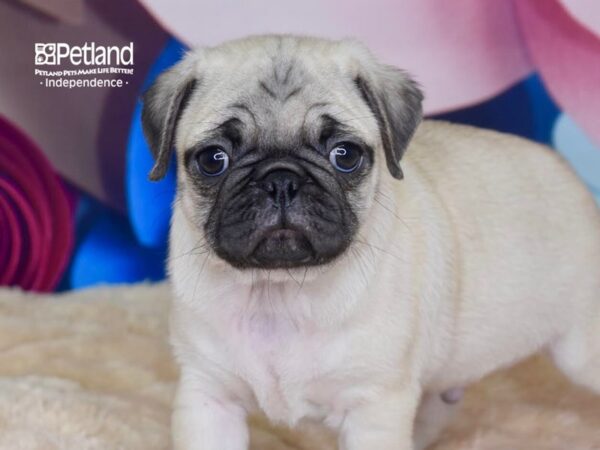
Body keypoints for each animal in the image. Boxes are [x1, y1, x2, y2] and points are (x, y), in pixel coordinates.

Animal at [142, 35, 600, 450]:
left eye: (345, 155)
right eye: (213, 159)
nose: (281, 179)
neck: (280, 291)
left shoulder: (375, 407)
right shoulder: (208, 398)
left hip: (582, 351)